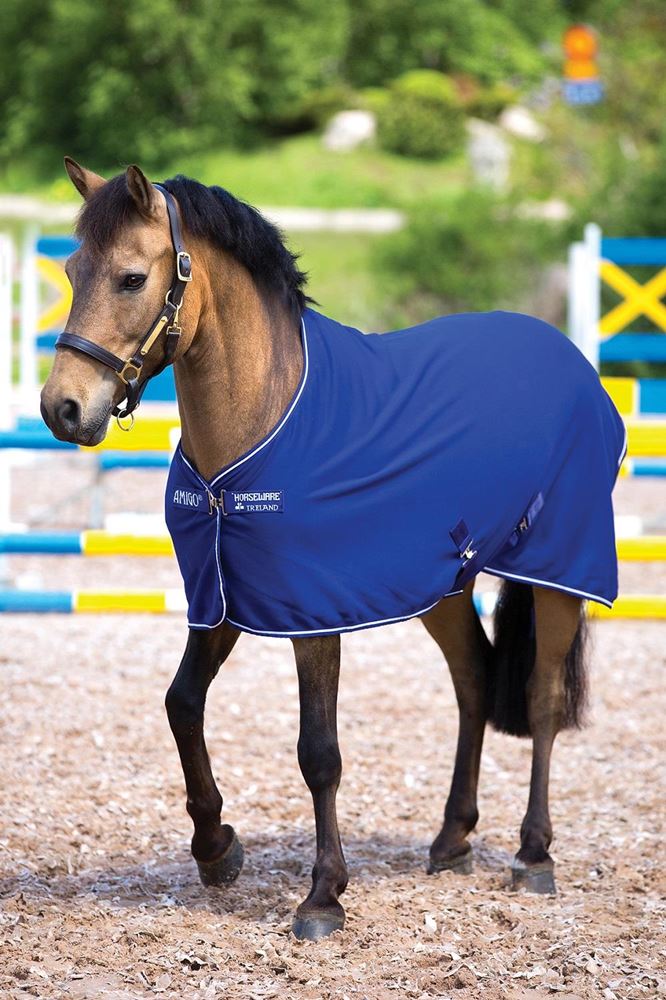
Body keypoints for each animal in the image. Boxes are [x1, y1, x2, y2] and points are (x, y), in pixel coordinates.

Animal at [40, 158, 625, 940]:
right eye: (73, 272)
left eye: (131, 278)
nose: (62, 409)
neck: (265, 415)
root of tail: (570, 360)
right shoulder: (221, 598)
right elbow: (181, 703)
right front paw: (216, 848)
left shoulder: (313, 617)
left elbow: (318, 752)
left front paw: (323, 895)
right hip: (445, 584)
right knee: (474, 680)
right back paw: (452, 838)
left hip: (557, 573)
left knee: (540, 699)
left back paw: (533, 855)